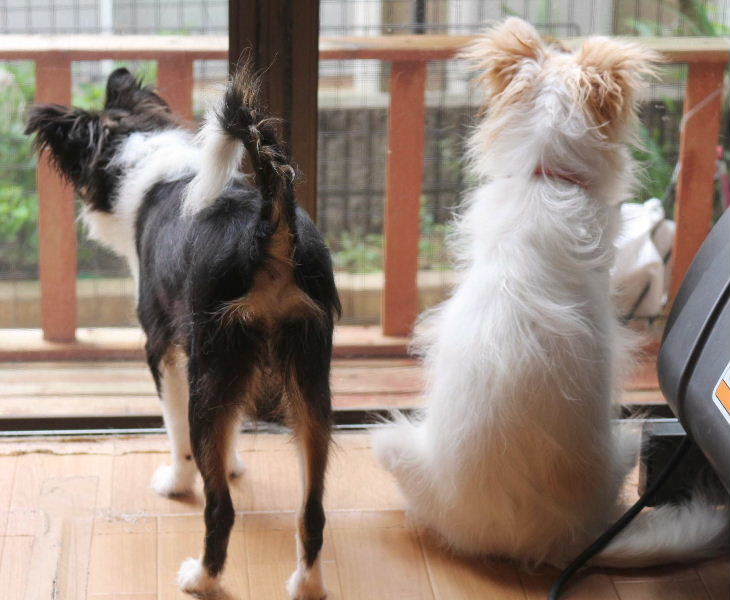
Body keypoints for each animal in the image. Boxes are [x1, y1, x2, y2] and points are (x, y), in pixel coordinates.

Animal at [26, 67, 339, 599]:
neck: (141, 149)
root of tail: (269, 228)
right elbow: (230, 431)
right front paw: (231, 463)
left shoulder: (167, 351)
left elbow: (177, 433)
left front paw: (176, 481)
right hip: (310, 381)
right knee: (313, 510)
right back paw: (306, 585)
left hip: (211, 374)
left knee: (221, 508)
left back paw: (201, 577)